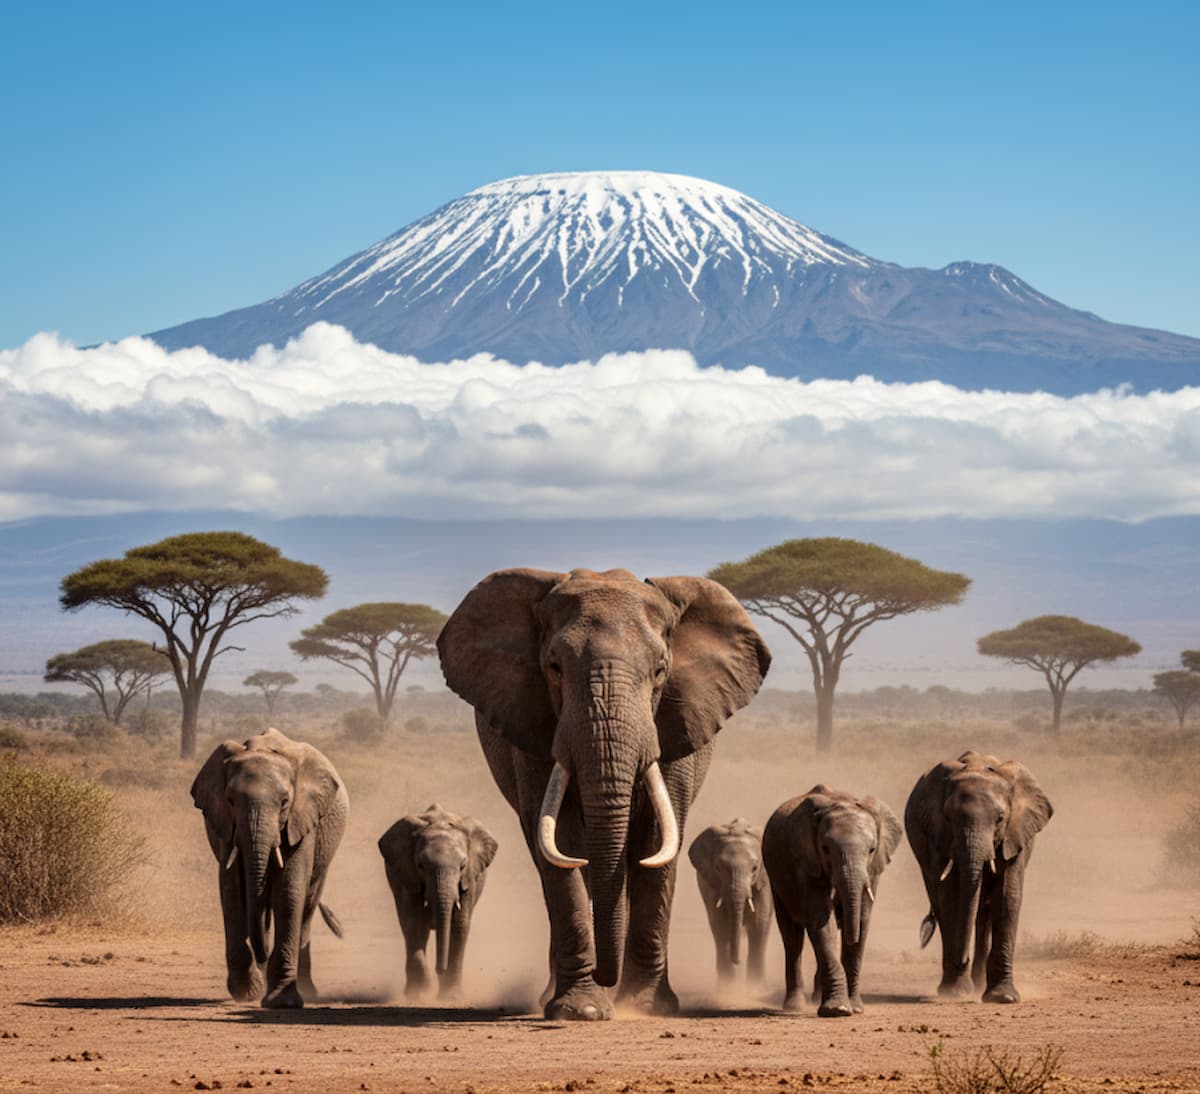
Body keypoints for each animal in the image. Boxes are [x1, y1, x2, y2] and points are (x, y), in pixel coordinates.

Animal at [190, 727, 349, 1008]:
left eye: (285, 802)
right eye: (231, 801)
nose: (263, 955)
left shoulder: (302, 820)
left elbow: (288, 892)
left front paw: (282, 1001)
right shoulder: (226, 825)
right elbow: (232, 891)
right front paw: (247, 991)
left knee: (306, 907)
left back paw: (308, 991)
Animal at [378, 803, 498, 999]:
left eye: (463, 866)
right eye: (420, 865)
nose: (439, 969)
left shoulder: (469, 880)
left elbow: (460, 924)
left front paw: (452, 998)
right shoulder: (408, 875)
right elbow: (415, 923)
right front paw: (419, 996)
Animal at [687, 818, 772, 986]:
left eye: (754, 868)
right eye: (718, 868)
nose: (737, 961)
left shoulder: (765, 881)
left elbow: (759, 923)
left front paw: (755, 988)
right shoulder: (712, 884)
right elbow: (721, 925)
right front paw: (729, 988)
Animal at [762, 785, 902, 1017]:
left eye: (872, 850)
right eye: (826, 849)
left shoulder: (873, 869)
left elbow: (862, 919)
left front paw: (855, 1008)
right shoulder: (806, 861)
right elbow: (820, 918)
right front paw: (838, 1010)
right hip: (776, 878)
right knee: (792, 937)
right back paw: (794, 1005)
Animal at [904, 750, 1053, 1004]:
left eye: (1000, 818)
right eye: (948, 817)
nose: (961, 959)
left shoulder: (1014, 836)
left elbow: (1008, 896)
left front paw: (1004, 997)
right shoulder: (940, 836)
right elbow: (950, 896)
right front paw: (955, 992)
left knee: (984, 910)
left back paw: (980, 984)